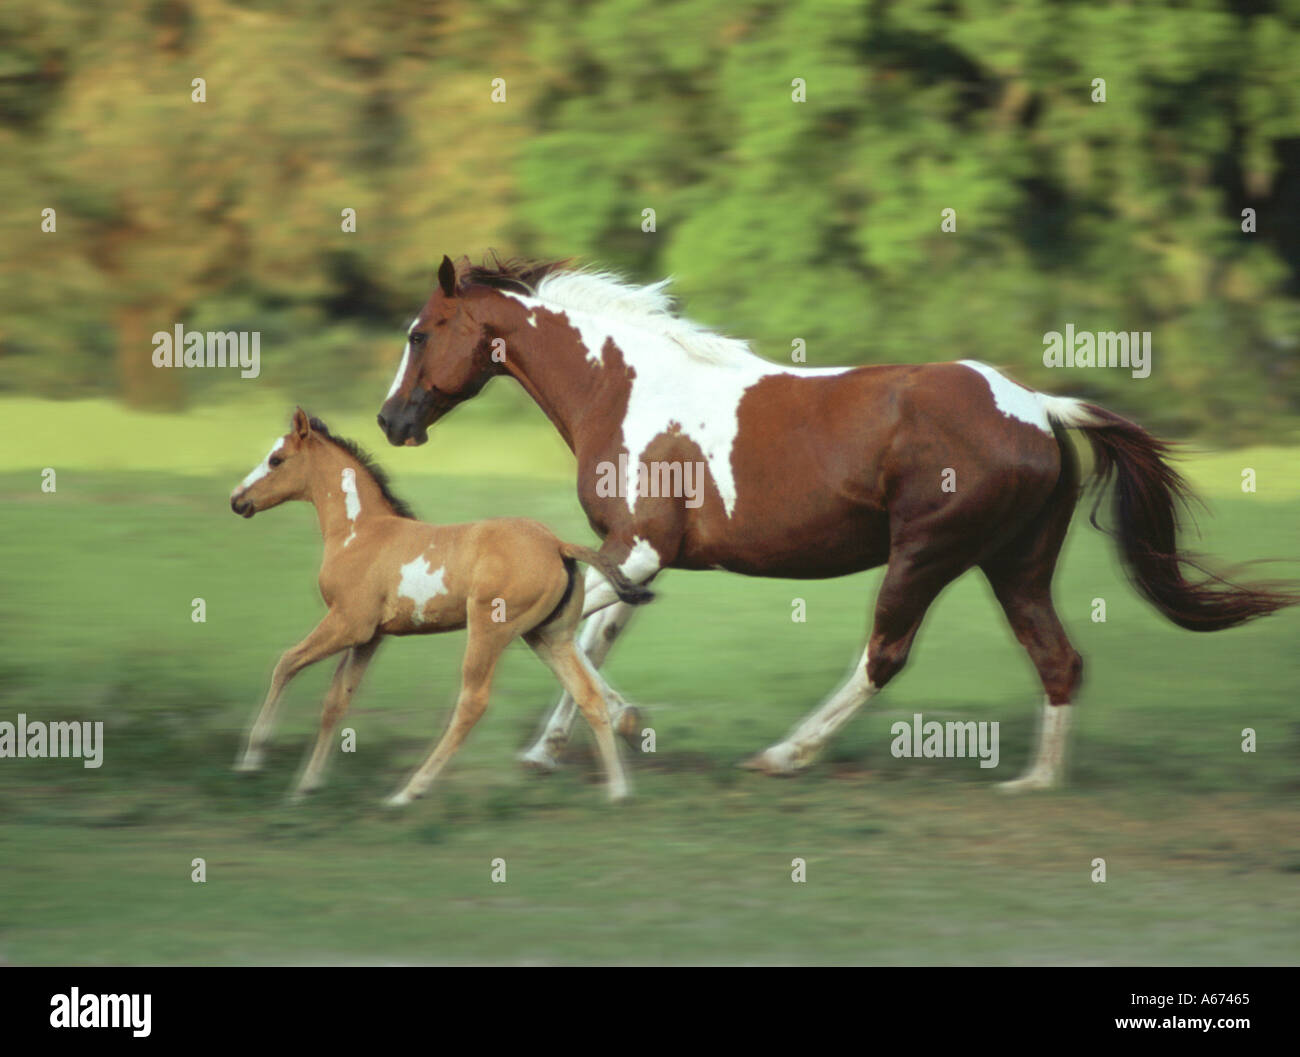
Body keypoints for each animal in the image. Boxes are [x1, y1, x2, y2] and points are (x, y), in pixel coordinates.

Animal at [229, 407, 652, 804]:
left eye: (276, 460)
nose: (237, 500)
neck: (360, 533)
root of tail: (557, 544)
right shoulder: (369, 638)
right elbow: (336, 703)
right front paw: (306, 786)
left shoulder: (348, 623)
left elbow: (286, 663)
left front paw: (253, 758)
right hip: (547, 636)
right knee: (588, 697)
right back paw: (618, 791)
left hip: (488, 631)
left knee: (472, 703)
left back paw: (407, 792)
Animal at [376, 254, 1298, 790]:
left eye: (423, 332)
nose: (391, 420)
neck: (625, 387)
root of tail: (1038, 405)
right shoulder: (639, 559)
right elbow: (588, 636)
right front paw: (549, 749)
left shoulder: (636, 549)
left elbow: (566, 624)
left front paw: (623, 723)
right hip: (1016, 564)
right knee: (1059, 660)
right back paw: (1034, 785)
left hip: (926, 553)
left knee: (884, 656)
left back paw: (783, 755)